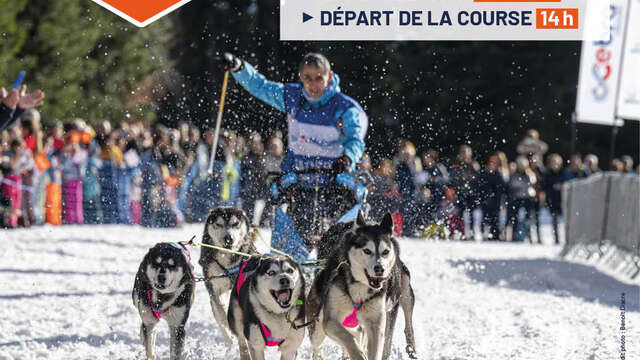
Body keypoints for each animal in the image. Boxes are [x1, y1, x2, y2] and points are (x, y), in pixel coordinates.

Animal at [308, 212, 418, 360]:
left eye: (385, 251)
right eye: (367, 251)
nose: (380, 269)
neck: (360, 286)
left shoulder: (375, 324)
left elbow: (378, 346)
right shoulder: (331, 320)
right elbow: (349, 340)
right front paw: (357, 353)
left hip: (404, 287)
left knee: (406, 324)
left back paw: (411, 347)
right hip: (318, 327)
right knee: (318, 345)